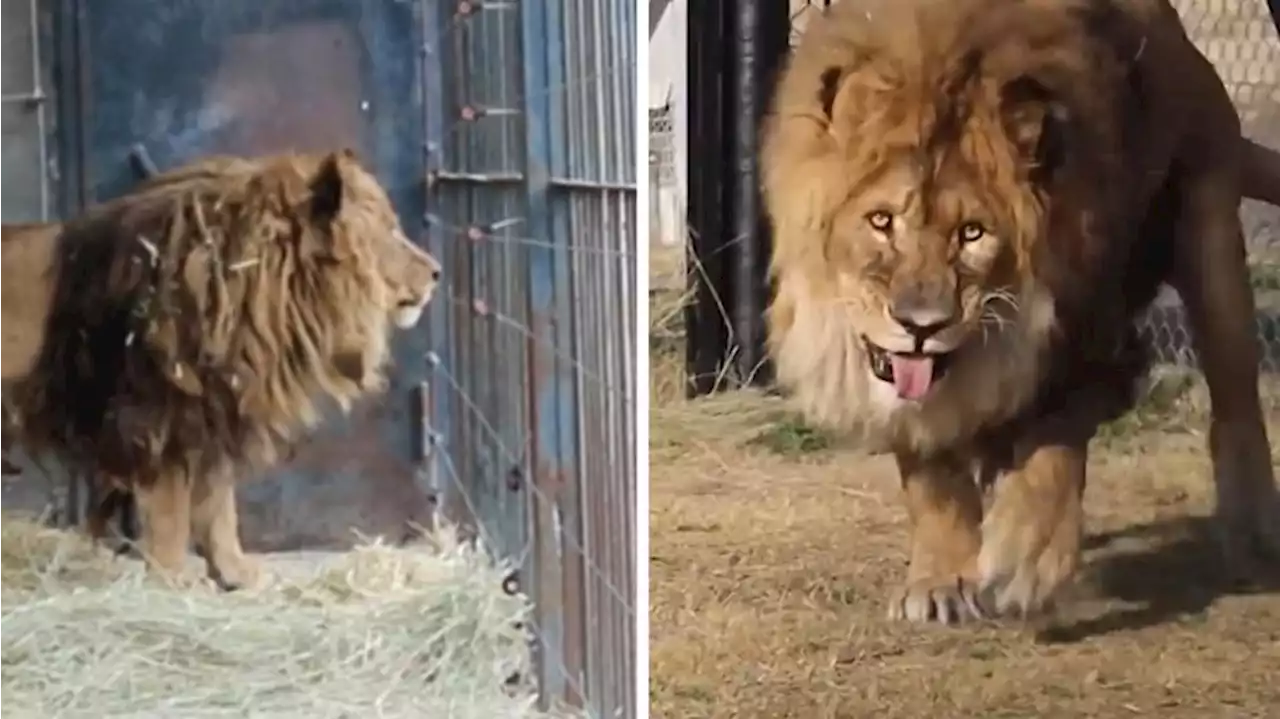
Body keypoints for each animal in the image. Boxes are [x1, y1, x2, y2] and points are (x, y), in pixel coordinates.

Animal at [0, 148, 440, 585]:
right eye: (390, 231)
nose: (437, 271)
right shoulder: (157, 417)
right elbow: (170, 512)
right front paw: (173, 577)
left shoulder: (216, 411)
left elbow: (218, 505)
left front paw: (235, 572)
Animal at [757, 0, 1280, 621]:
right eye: (882, 221)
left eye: (972, 233)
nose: (920, 326)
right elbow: (931, 471)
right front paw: (940, 581)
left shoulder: (1094, 339)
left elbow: (1053, 445)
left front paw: (1027, 560)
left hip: (1209, 232)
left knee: (1236, 400)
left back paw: (1253, 531)